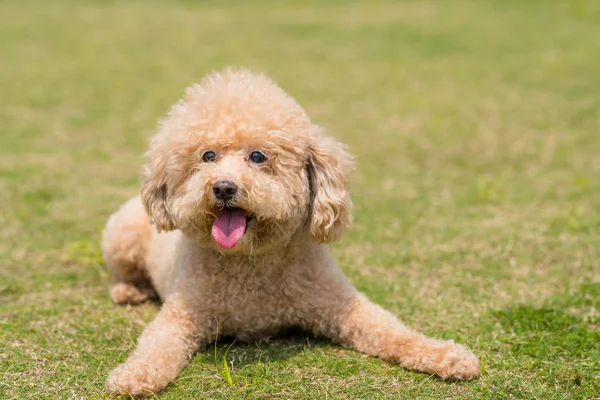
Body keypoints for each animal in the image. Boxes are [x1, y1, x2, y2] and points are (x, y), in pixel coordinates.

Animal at [102, 67, 478, 396]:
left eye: (257, 156)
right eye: (208, 155)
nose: (223, 187)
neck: (251, 260)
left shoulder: (339, 303)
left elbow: (391, 330)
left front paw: (448, 355)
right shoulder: (183, 313)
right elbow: (155, 345)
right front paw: (133, 374)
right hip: (121, 235)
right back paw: (129, 290)